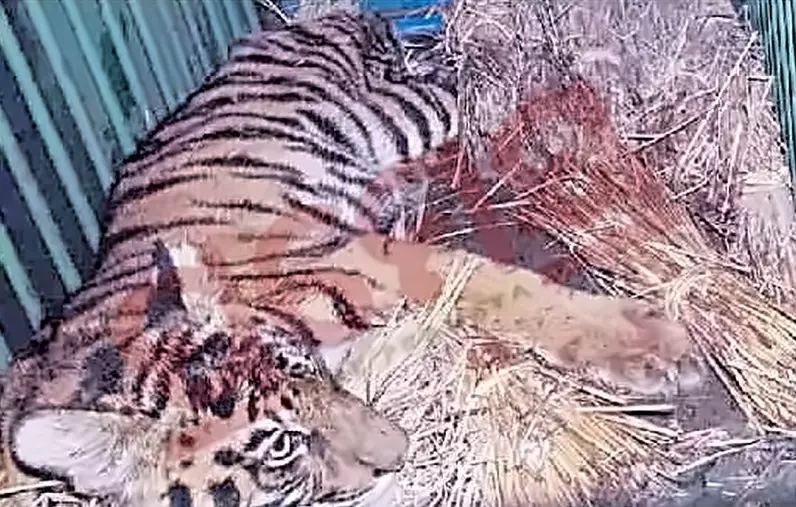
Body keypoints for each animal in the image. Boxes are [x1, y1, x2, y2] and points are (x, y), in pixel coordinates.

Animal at [0, 8, 701, 507]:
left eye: (305, 375)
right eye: (282, 447)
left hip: (392, 115)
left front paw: (652, 345)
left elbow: (504, 290)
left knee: (472, 80)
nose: (399, 453)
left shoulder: (373, 261)